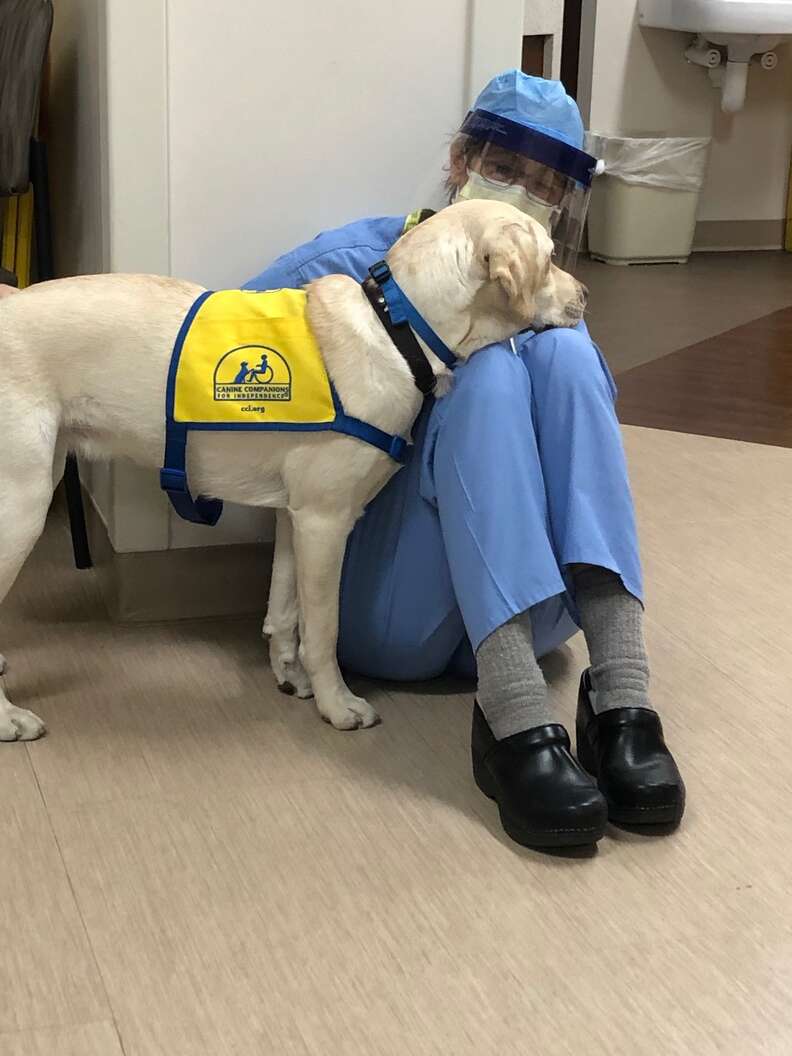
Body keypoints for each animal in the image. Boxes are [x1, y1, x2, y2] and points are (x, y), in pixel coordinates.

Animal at [0, 199, 582, 743]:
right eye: (552, 257)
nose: (584, 295)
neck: (396, 329)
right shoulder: (326, 522)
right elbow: (323, 628)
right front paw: (337, 704)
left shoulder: (293, 516)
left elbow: (285, 611)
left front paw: (290, 675)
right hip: (23, 504)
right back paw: (9, 719)